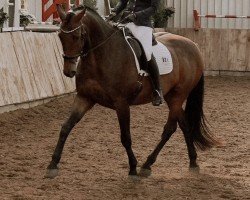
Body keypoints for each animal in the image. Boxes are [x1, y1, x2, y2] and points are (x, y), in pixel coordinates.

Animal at [46, 5, 218, 178]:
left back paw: (147, 164)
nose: (68, 72)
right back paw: (192, 162)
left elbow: (125, 137)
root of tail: (193, 46)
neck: (102, 56)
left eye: (76, 36)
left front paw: (133, 168)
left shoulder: (121, 103)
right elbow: (65, 127)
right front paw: (52, 164)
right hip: (171, 96)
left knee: (169, 129)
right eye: (60, 36)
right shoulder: (84, 97)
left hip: (178, 96)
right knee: (185, 125)